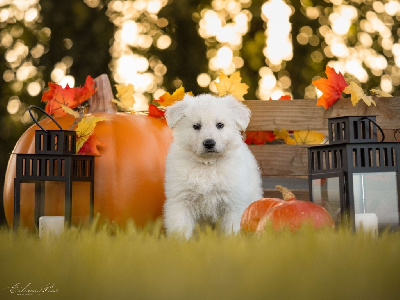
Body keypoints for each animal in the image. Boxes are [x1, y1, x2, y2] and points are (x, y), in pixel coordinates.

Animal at [162, 94, 262, 239]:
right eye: (196, 126)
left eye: (220, 125)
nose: (209, 143)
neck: (208, 165)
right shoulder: (181, 200)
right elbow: (181, 227)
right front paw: (180, 243)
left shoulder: (233, 201)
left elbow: (232, 229)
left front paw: (233, 241)